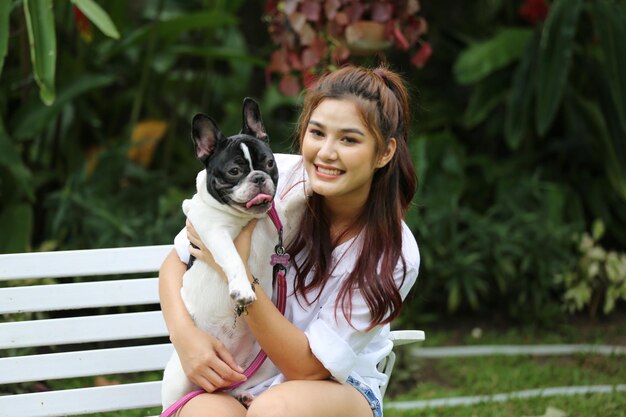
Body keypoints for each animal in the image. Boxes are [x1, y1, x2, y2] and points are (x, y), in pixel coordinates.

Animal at [160, 98, 288, 410]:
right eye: (234, 171)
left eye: (270, 163)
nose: (259, 177)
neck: (246, 218)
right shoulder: (213, 232)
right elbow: (232, 258)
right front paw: (242, 289)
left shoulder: (278, 221)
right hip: (182, 374)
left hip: (267, 360)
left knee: (235, 386)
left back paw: (243, 394)